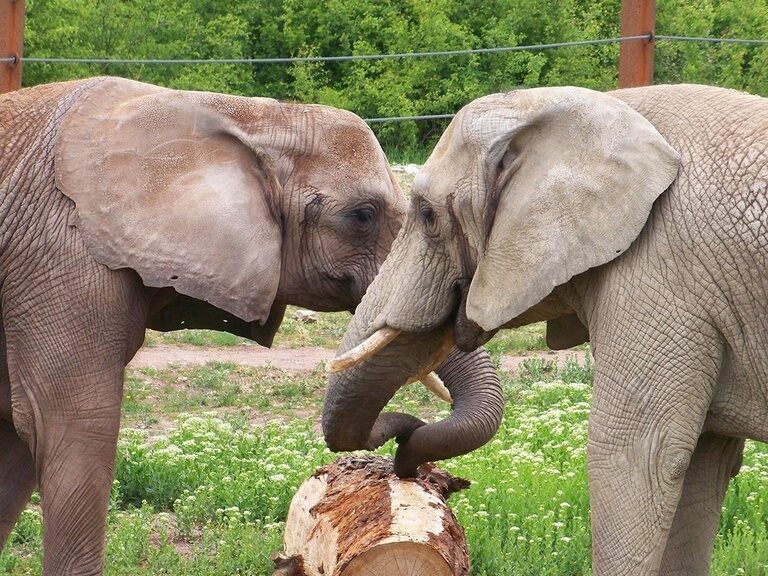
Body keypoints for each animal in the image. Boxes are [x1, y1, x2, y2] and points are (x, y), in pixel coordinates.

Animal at [0, 75, 408, 572]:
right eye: (362, 216)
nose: (404, 454)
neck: (253, 116)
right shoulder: (63, 257)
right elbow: (71, 428)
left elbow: (16, 440)